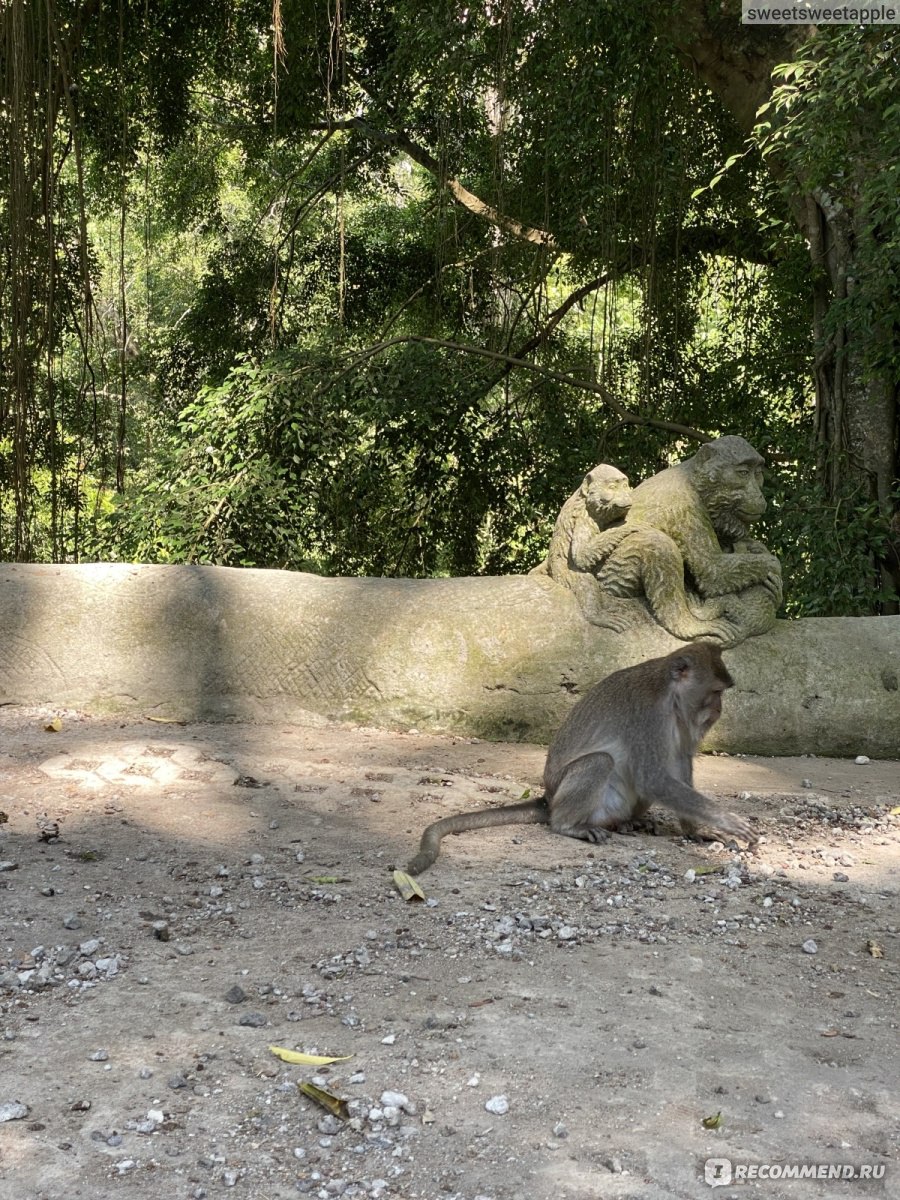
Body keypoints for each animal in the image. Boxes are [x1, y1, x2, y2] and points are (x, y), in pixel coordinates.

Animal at [408, 648, 753, 873]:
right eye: (717, 691)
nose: (719, 709)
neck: (670, 696)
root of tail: (548, 799)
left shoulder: (682, 722)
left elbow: (679, 767)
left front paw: (698, 830)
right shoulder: (647, 714)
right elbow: (653, 779)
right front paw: (727, 820)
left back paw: (627, 823)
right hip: (573, 799)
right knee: (599, 762)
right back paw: (570, 825)